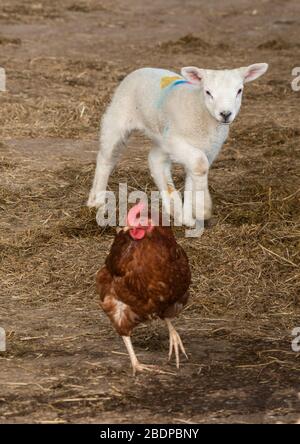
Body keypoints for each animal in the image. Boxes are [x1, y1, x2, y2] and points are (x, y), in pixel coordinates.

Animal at [86, 62, 268, 225]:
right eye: (208, 92)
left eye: (239, 91)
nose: (225, 114)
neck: (200, 111)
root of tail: (142, 68)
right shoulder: (176, 141)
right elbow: (200, 165)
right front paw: (203, 208)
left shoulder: (209, 149)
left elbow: (193, 177)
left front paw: (189, 216)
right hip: (118, 120)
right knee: (105, 159)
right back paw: (97, 200)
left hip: (160, 139)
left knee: (155, 161)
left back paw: (174, 210)